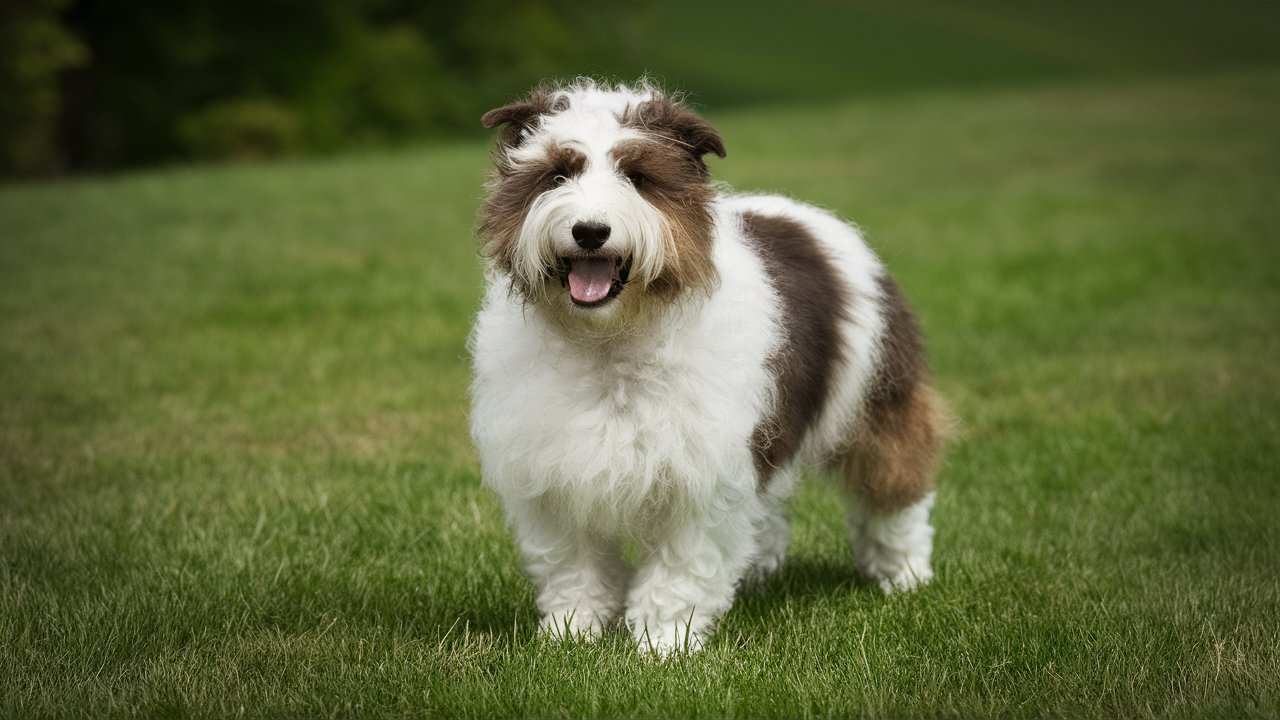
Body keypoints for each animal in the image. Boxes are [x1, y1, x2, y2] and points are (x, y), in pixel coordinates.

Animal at [473, 79, 952, 655]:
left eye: (637, 178)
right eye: (558, 175)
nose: (590, 230)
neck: (609, 340)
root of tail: (806, 217)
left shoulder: (701, 481)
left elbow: (679, 572)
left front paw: (662, 645)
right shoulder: (555, 479)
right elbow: (574, 568)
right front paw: (572, 635)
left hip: (878, 402)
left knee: (895, 495)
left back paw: (904, 576)